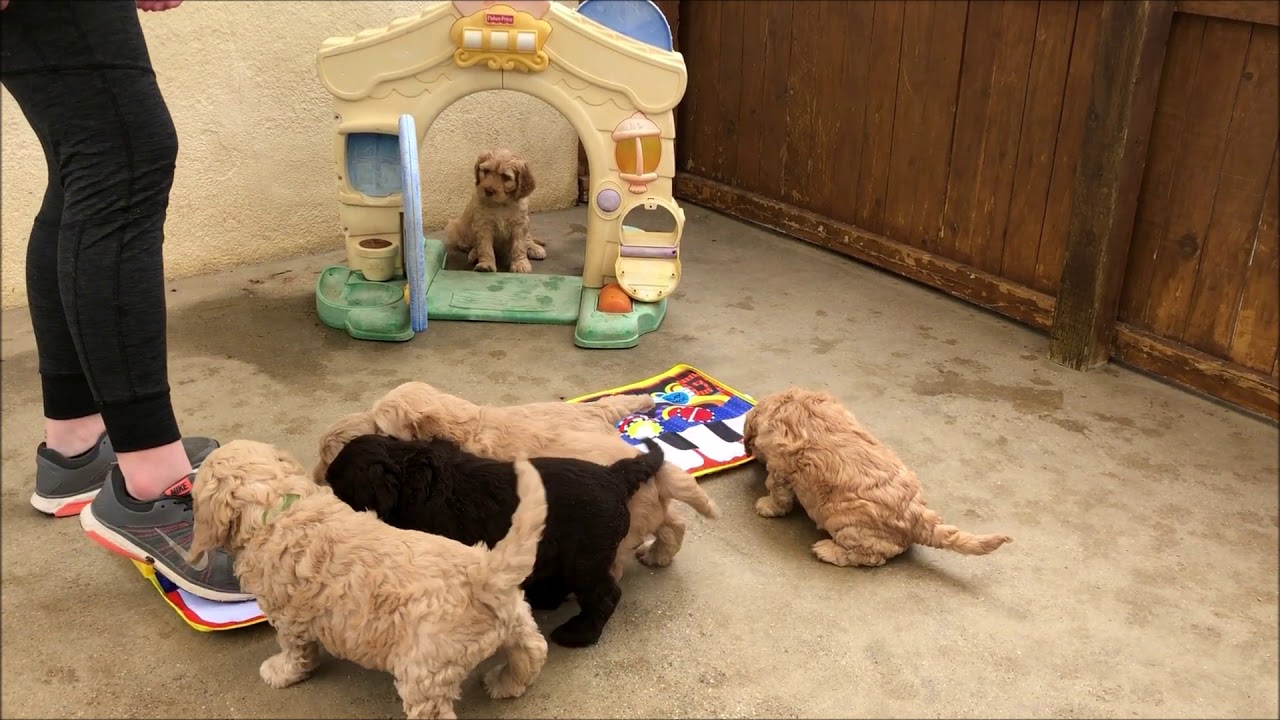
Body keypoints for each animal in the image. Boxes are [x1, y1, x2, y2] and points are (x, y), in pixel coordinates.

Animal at [313, 0, 686, 348]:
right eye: (485, 172)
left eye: (506, 177)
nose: (488, 191)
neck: (503, 206)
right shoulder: (483, 225)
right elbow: (487, 245)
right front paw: (486, 262)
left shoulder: (520, 222)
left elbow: (519, 244)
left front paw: (521, 262)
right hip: (457, 226)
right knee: (465, 241)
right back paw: (473, 254)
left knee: (531, 239)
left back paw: (536, 249)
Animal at [325, 430, 665, 645]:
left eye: (338, 487)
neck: (405, 469)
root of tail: (615, 476)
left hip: (584, 561)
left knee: (605, 595)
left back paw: (577, 634)